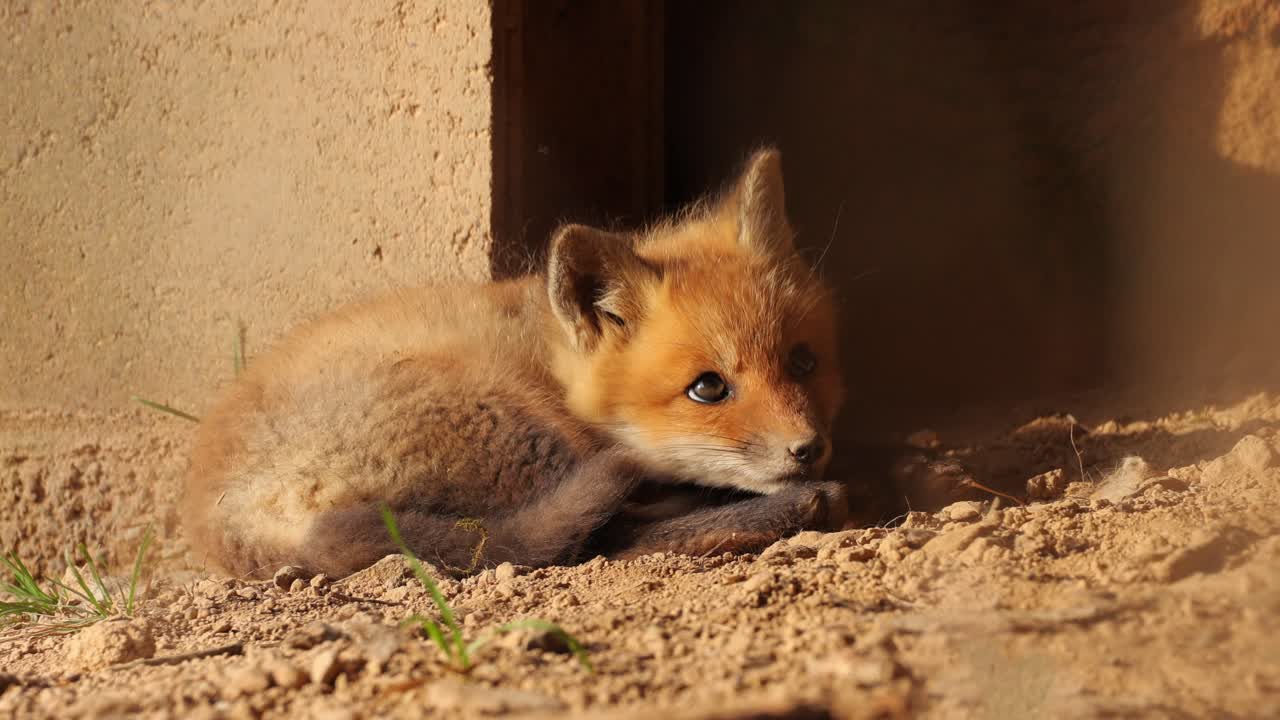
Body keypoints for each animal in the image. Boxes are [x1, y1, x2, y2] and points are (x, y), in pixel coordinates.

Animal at [181, 148, 849, 579]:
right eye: (708, 388)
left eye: (803, 362)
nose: (808, 448)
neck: (544, 350)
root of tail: (216, 510)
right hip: (514, 425)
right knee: (600, 539)